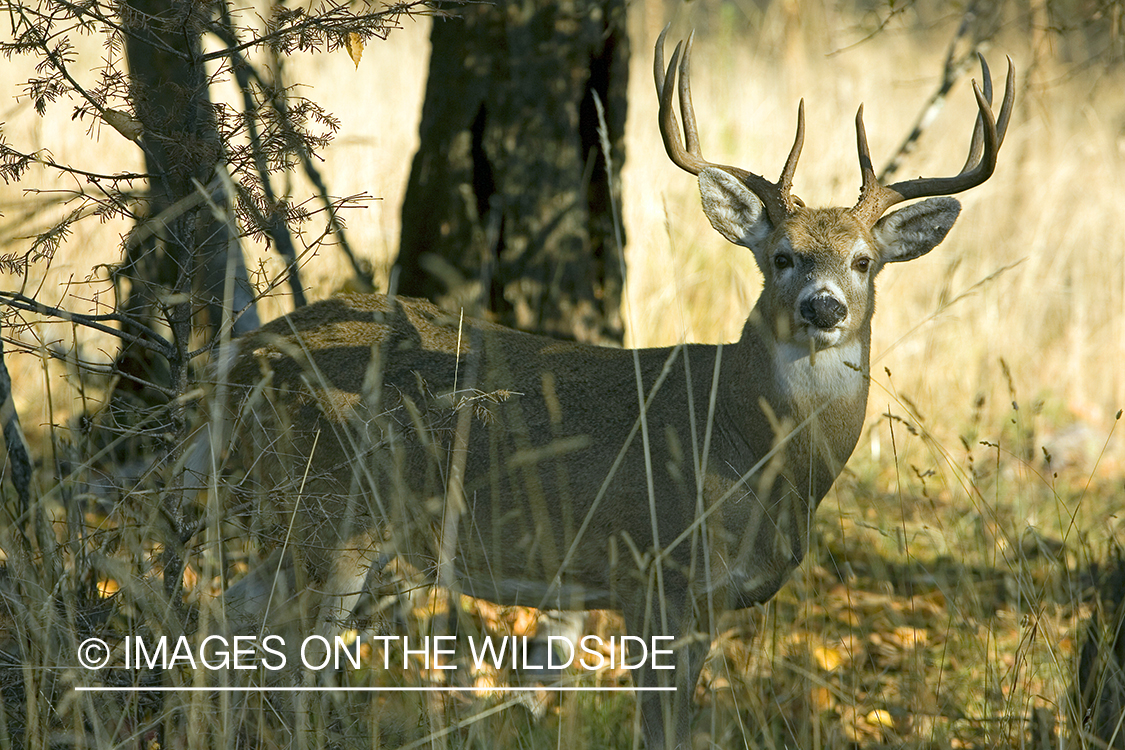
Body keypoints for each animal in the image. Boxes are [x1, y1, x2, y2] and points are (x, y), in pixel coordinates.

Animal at [203, 28, 1014, 750]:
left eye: (864, 260)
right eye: (781, 256)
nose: (824, 308)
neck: (749, 446)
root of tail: (239, 356)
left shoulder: (706, 600)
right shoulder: (655, 569)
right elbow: (660, 731)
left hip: (298, 522)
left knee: (226, 621)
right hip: (331, 511)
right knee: (285, 663)